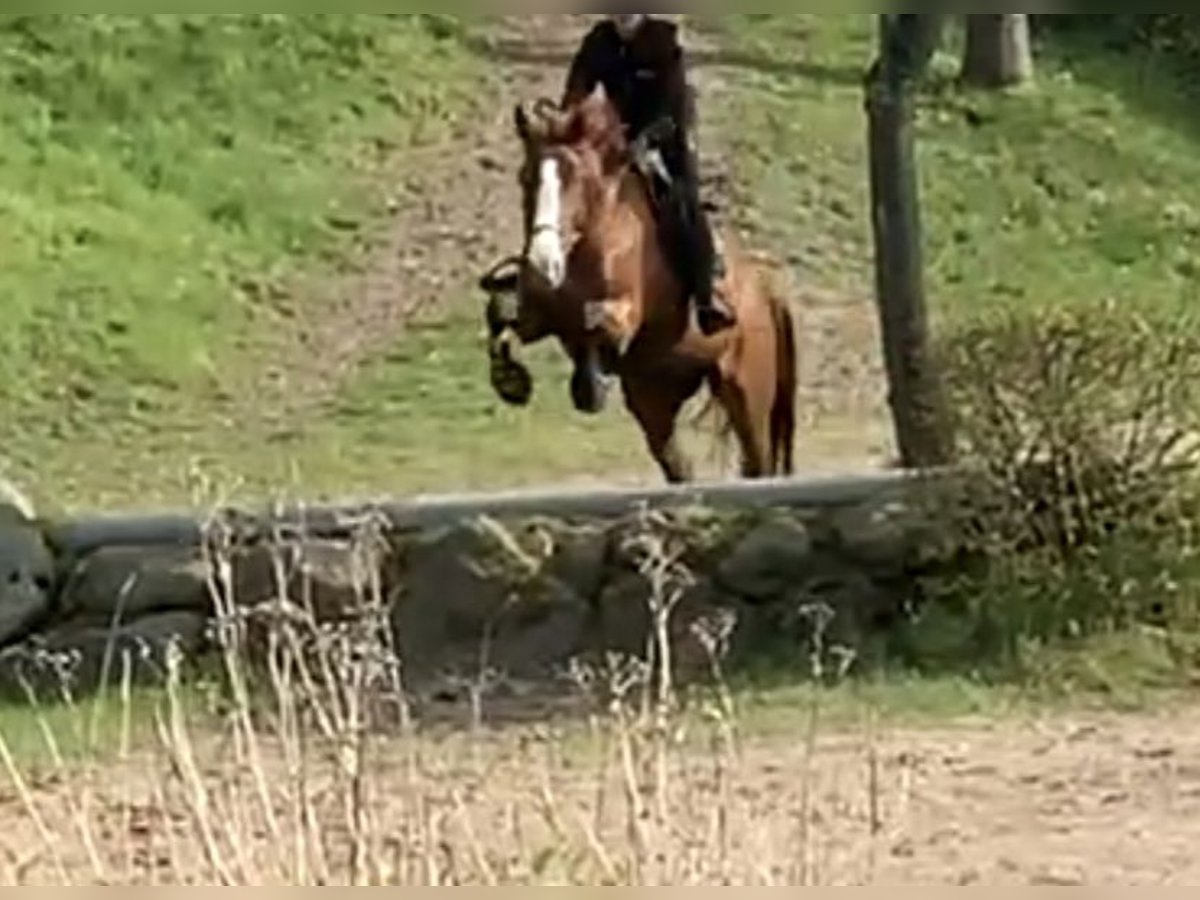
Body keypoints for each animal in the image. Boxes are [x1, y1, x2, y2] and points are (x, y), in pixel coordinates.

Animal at [477, 82, 796, 487]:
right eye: (525, 178)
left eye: (578, 182)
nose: (543, 262)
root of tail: (763, 288)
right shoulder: (543, 314)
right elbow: (503, 313)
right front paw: (510, 379)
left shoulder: (625, 314)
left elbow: (599, 322)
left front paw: (591, 384)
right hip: (654, 398)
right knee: (678, 465)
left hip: (746, 390)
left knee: (759, 461)